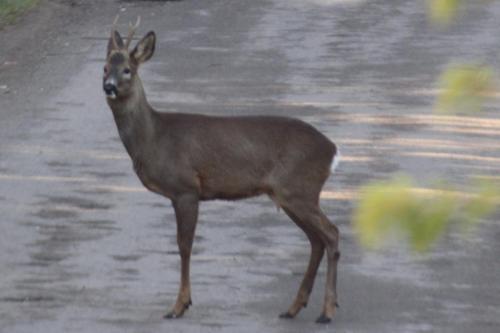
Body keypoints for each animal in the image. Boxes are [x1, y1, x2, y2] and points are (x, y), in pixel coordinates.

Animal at [103, 16, 342, 322]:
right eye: (105, 67)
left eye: (128, 70)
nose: (108, 86)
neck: (154, 137)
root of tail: (332, 150)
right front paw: (183, 302)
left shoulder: (186, 188)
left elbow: (184, 246)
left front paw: (179, 306)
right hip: (290, 195)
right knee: (317, 240)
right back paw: (293, 308)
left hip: (299, 189)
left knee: (331, 234)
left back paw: (327, 311)